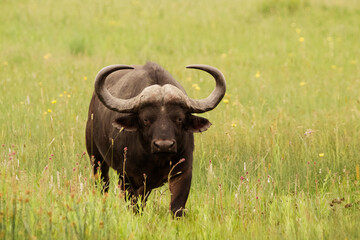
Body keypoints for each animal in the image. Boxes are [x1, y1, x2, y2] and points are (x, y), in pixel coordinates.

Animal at [86, 62, 225, 216]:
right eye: (146, 119)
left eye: (179, 119)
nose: (164, 145)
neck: (156, 160)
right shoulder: (127, 176)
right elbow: (134, 204)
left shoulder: (183, 173)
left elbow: (177, 207)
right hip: (96, 159)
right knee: (103, 184)